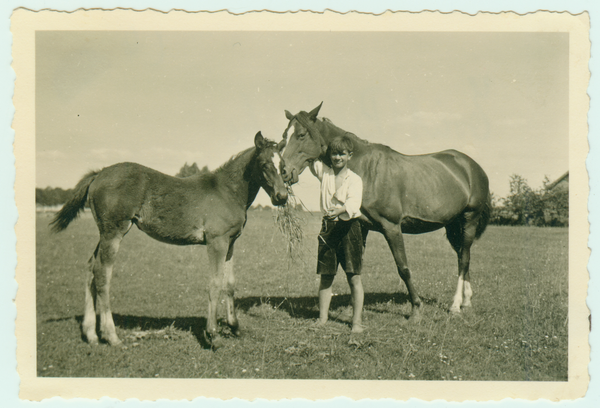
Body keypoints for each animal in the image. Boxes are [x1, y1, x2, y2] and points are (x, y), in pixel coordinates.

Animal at [50, 133, 290, 348]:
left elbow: (229, 284)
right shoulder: (216, 242)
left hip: (105, 233)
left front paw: (235, 327)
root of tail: (99, 174)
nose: (282, 197)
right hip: (113, 232)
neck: (226, 191)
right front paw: (213, 335)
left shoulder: (231, 242)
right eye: (264, 164)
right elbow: (214, 284)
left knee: (90, 267)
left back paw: (91, 334)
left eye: (283, 165)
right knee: (102, 274)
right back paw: (111, 336)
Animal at [278, 103, 490, 318]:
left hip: (469, 219)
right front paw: (353, 307)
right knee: (463, 256)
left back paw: (456, 305)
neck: (364, 170)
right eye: (284, 135)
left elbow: (403, 267)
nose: (283, 171)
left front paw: (416, 307)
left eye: (301, 134)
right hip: (454, 225)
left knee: (464, 259)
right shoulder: (361, 227)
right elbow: (355, 266)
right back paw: (466, 301)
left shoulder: (392, 227)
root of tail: (472, 166)